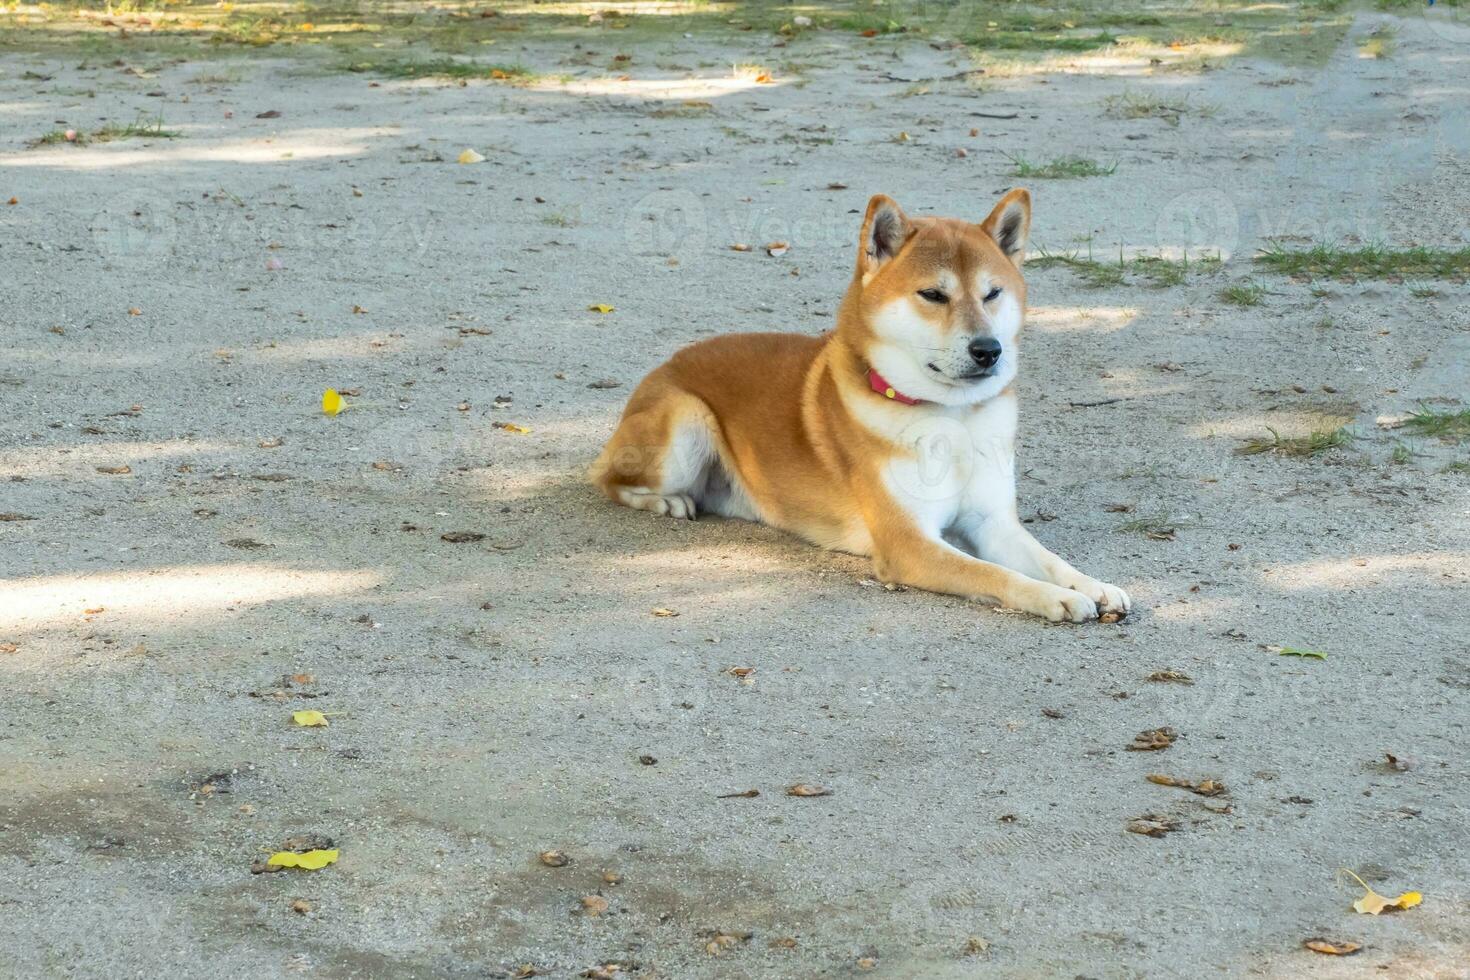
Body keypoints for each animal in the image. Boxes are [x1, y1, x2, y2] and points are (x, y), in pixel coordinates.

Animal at [590, 188, 1128, 625]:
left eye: (993, 293)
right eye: (933, 294)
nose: (988, 350)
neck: (950, 418)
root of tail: (665, 364)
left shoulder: (993, 523)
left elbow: (1051, 560)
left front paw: (1094, 585)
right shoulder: (910, 545)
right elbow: (997, 576)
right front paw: (1056, 597)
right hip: (685, 423)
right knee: (608, 480)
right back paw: (665, 501)